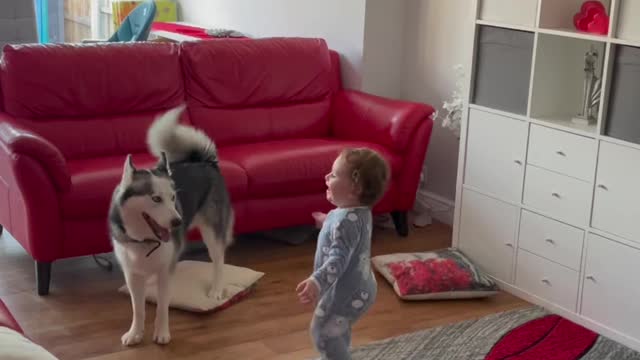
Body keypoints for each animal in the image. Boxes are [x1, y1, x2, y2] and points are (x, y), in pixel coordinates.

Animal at [109, 105, 234, 346]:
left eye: (173, 197)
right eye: (156, 199)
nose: (178, 222)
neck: (145, 241)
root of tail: (204, 162)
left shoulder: (165, 272)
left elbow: (162, 307)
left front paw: (162, 333)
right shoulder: (132, 274)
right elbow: (138, 308)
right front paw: (135, 333)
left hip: (212, 233)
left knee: (218, 260)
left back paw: (216, 289)